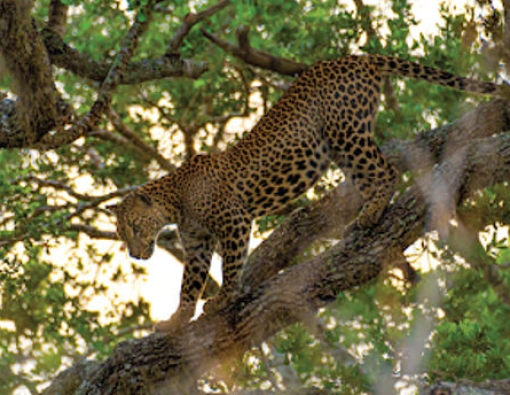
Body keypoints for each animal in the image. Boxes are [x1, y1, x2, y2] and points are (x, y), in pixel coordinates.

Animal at [106, 54, 506, 332]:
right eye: (122, 233)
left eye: (136, 227)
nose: (136, 254)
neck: (175, 200)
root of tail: (357, 57)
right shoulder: (198, 243)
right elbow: (189, 284)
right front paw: (177, 321)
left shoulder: (234, 222)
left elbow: (232, 265)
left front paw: (223, 299)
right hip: (339, 145)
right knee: (371, 175)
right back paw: (363, 217)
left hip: (348, 131)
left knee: (387, 169)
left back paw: (372, 213)